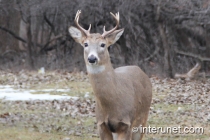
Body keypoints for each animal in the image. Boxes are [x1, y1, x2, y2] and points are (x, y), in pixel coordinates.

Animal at [69, 10, 153, 140]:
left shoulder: (126, 124)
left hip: (142, 120)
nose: (92, 58)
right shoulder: (101, 124)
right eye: (86, 44)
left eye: (103, 44)